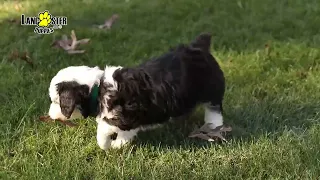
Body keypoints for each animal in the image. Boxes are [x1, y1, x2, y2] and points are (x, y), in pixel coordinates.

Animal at [96, 32, 229, 150]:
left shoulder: (132, 115)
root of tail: (199, 47)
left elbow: (111, 127)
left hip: (211, 89)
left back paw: (214, 125)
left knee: (214, 108)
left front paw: (111, 144)